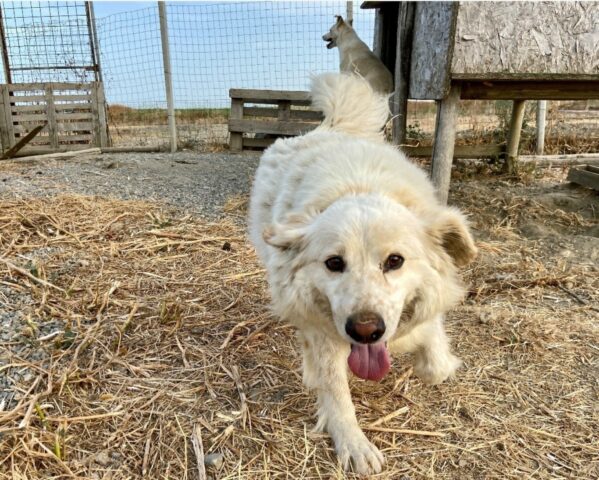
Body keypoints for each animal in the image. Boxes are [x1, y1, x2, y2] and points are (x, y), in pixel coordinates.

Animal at [246, 73, 476, 474]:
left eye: (395, 261)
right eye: (334, 263)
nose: (366, 331)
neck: (359, 186)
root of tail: (330, 127)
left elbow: (433, 356)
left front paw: (437, 359)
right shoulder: (325, 333)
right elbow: (337, 392)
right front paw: (354, 444)